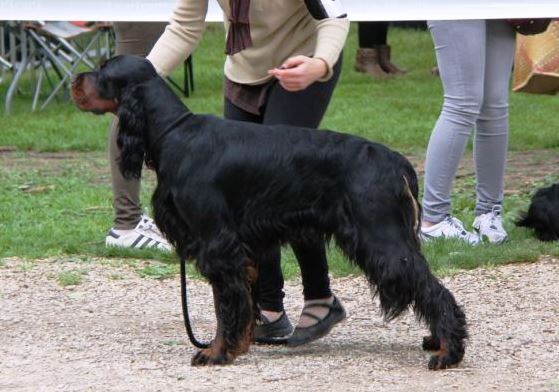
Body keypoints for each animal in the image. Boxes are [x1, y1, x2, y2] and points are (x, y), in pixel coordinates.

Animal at [70, 56, 468, 370]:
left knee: (430, 287)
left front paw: (216, 352)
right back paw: (438, 340)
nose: (74, 79)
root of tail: (396, 161)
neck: (174, 133)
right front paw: (237, 345)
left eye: (102, 70)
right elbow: (238, 303)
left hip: (381, 237)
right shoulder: (235, 248)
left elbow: (224, 306)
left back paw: (447, 351)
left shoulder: (218, 243)